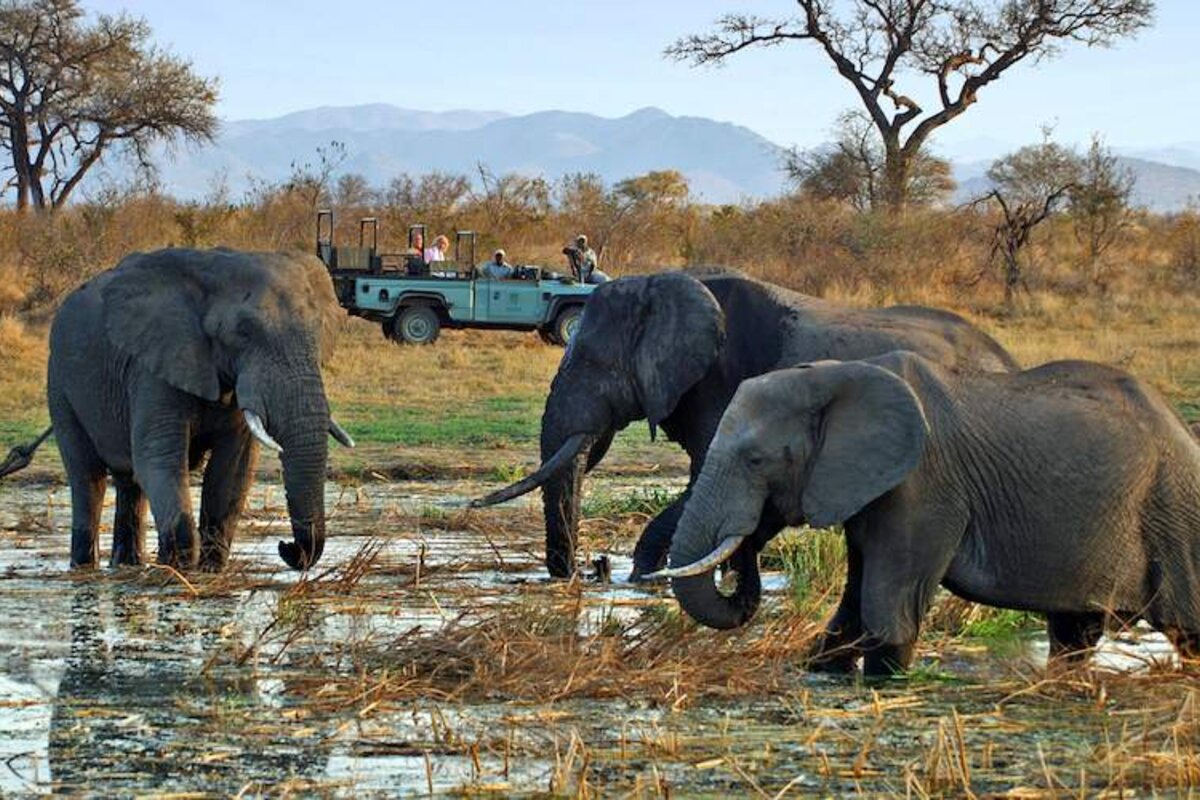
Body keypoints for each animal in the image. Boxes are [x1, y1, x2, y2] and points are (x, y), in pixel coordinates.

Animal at [17, 248, 351, 571]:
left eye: (320, 332)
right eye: (243, 332)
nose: (286, 548)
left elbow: (233, 468)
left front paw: (208, 571)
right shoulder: (152, 368)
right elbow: (159, 459)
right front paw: (178, 570)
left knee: (129, 482)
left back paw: (126, 565)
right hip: (60, 384)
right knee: (88, 478)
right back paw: (85, 568)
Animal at [656, 352, 1200, 677]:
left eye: (756, 461)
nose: (744, 550)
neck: (839, 374)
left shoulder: (922, 486)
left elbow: (887, 608)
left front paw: (885, 677)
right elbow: (853, 604)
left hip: (1176, 514)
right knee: (1074, 634)